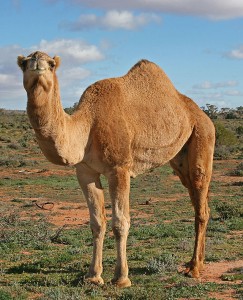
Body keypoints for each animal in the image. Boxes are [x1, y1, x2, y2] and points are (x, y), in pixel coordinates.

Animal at [17, 51, 215, 288]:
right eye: (24, 63)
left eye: (52, 64)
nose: (37, 62)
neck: (88, 125)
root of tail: (202, 115)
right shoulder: (85, 171)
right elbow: (96, 222)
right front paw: (93, 276)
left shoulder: (119, 168)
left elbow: (120, 222)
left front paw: (121, 278)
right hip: (180, 159)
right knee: (197, 200)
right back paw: (196, 263)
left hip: (203, 137)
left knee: (201, 203)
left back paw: (194, 269)